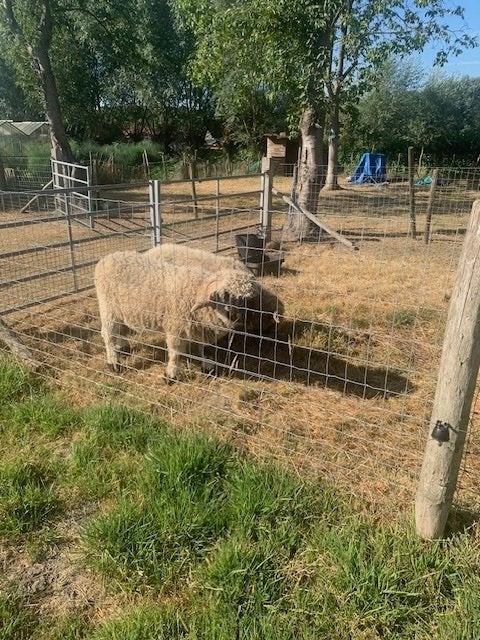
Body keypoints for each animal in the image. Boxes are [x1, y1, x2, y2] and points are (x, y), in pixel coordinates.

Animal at [94, 250, 258, 381]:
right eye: (225, 295)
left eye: (247, 299)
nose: (239, 316)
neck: (196, 290)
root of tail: (108, 257)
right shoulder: (175, 328)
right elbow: (175, 353)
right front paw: (170, 375)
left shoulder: (201, 329)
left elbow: (205, 349)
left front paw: (208, 368)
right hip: (107, 307)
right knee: (108, 334)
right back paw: (114, 363)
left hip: (121, 310)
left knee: (120, 330)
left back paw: (123, 348)